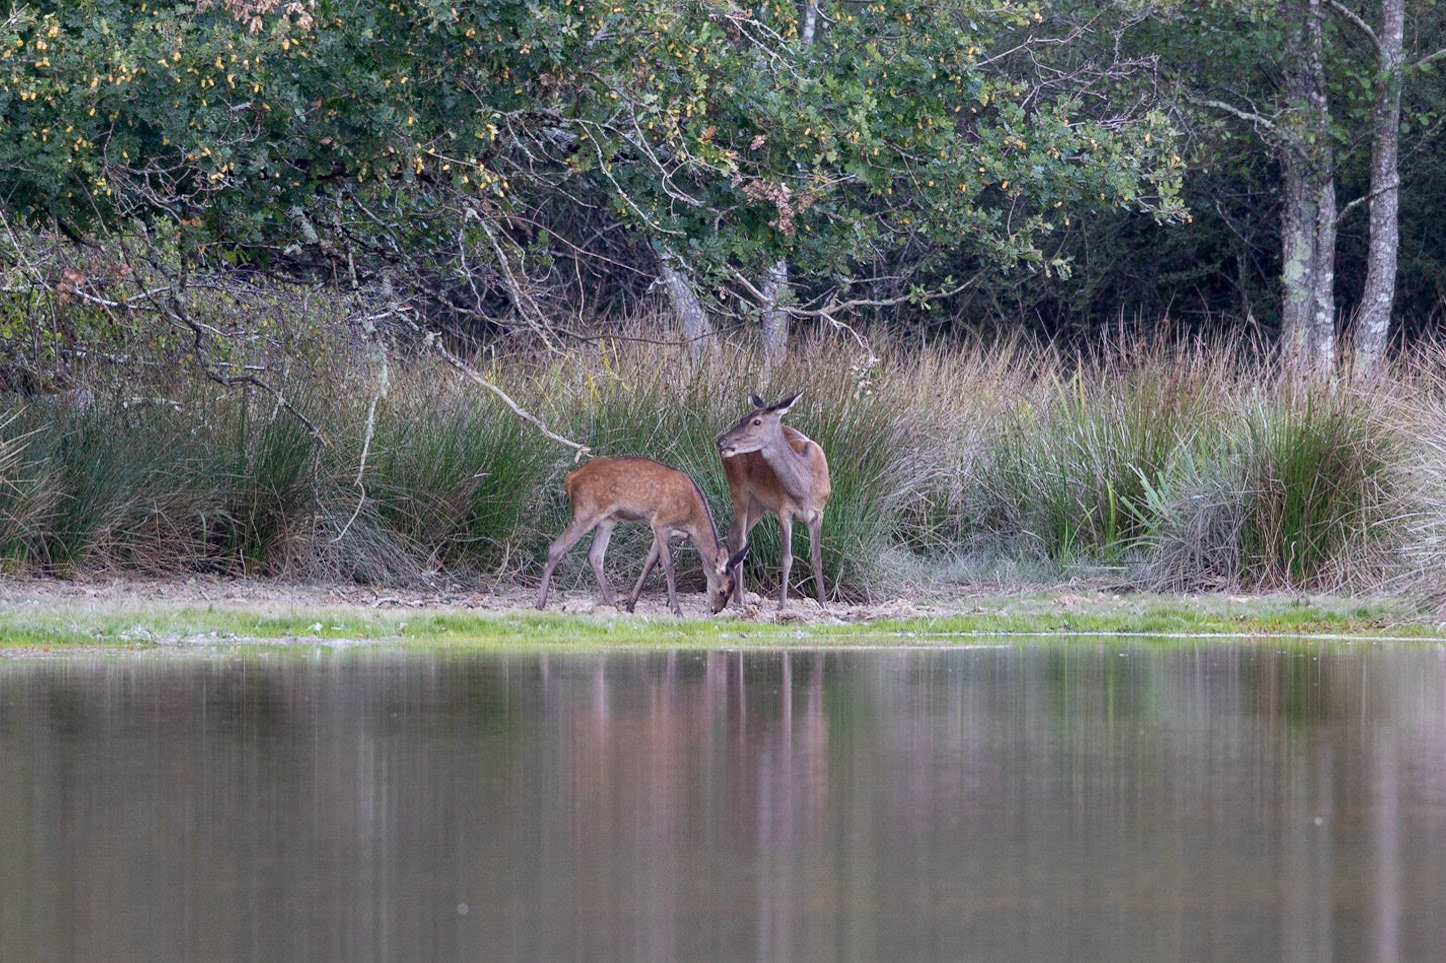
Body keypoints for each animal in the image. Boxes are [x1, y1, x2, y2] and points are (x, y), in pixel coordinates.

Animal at [535, 455, 750, 616]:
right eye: (723, 590)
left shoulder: (660, 528)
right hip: (585, 512)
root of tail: (570, 478)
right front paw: (676, 609)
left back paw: (613, 603)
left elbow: (650, 561)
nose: (715, 610)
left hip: (607, 520)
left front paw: (631, 604)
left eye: (731, 590)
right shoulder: (661, 522)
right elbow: (668, 565)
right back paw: (540, 603)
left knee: (595, 555)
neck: (691, 519)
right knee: (555, 549)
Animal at [715, 393, 831, 609]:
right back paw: (740, 599)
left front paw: (823, 603)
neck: (805, 488)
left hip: (759, 503)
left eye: (756, 421)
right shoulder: (784, 510)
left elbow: (817, 557)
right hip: (738, 489)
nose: (721, 441)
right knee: (741, 537)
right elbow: (786, 558)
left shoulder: (819, 512)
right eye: (742, 418)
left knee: (733, 531)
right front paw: (782, 604)